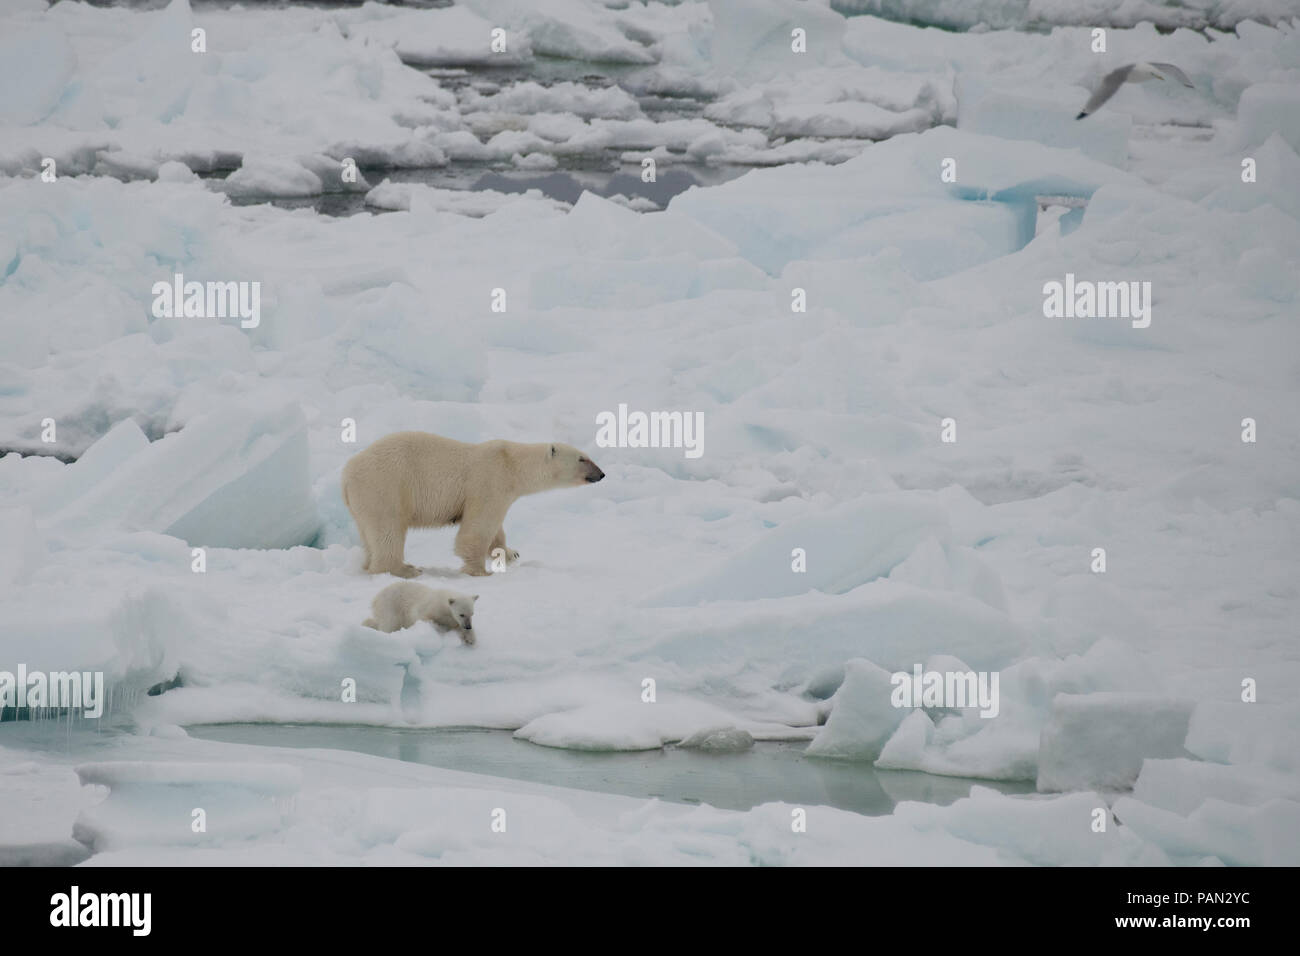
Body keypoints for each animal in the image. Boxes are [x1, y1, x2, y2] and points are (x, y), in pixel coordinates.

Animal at [345, 431, 608, 574]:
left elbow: (496, 531)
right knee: (387, 530)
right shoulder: (490, 480)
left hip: (363, 501)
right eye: (582, 458)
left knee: (369, 534)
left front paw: (510, 553)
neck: (512, 463)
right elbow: (478, 528)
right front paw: (478, 570)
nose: (602, 474)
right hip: (385, 486)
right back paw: (404, 569)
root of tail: (346, 475)